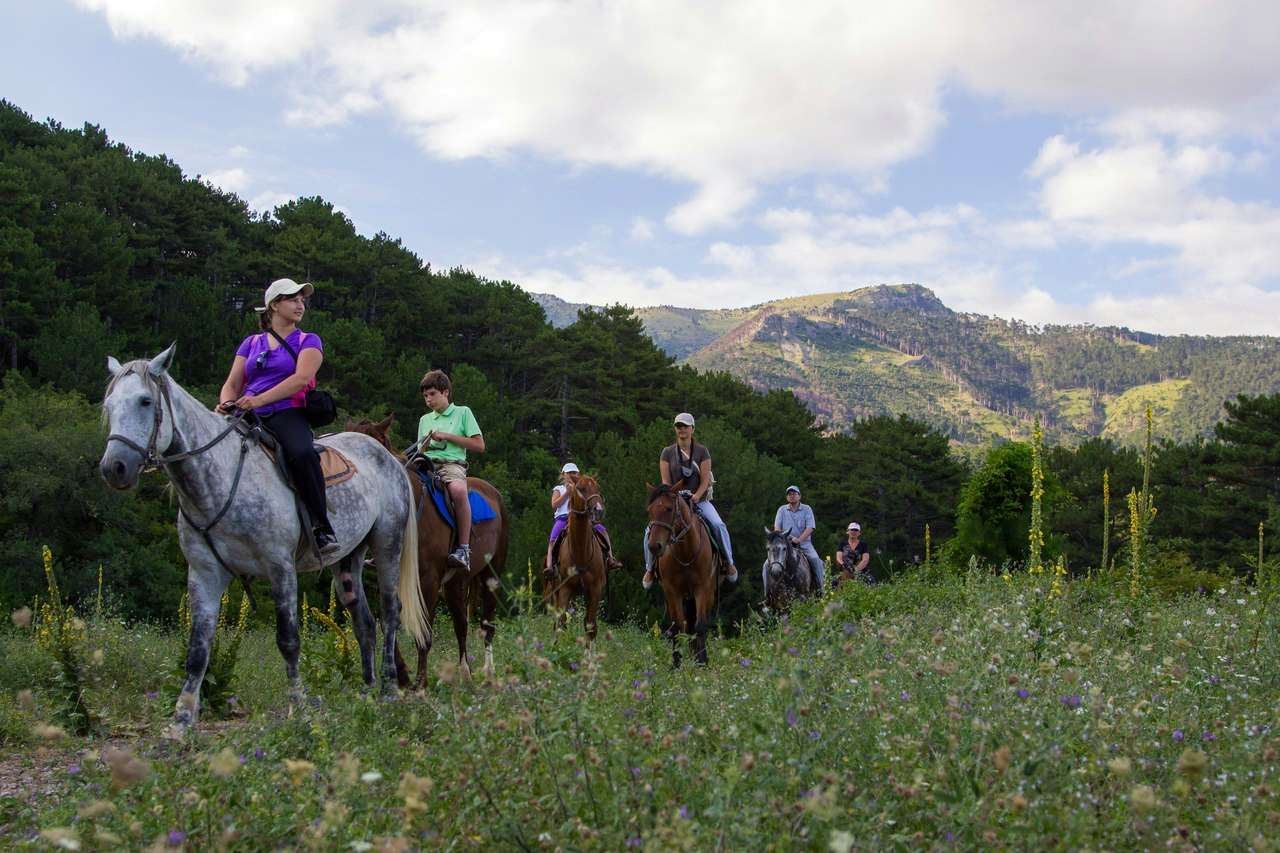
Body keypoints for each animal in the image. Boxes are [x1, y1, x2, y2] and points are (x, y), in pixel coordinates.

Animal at [98, 343, 430, 727]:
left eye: (145, 401)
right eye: (109, 405)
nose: (114, 468)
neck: (222, 476)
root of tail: (388, 458)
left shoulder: (279, 567)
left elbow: (288, 640)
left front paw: (298, 705)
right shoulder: (204, 572)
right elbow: (198, 647)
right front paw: (182, 718)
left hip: (388, 546)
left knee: (390, 613)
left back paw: (389, 689)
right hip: (348, 560)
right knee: (365, 622)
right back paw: (366, 693)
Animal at [350, 412, 514, 686]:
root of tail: (494, 494)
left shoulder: (428, 579)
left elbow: (424, 632)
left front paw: (420, 683)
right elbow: (387, 622)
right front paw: (402, 675)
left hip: (491, 575)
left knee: (486, 623)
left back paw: (488, 673)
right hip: (455, 583)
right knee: (461, 624)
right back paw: (464, 672)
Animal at [550, 471, 609, 637]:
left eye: (597, 487)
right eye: (581, 488)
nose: (599, 510)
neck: (581, 552)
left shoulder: (595, 589)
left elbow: (590, 625)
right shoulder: (565, 588)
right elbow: (561, 622)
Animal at [650, 479, 721, 666]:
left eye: (669, 509)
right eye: (650, 510)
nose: (654, 546)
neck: (685, 552)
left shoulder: (702, 589)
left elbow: (700, 625)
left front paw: (702, 661)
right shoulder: (671, 591)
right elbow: (677, 627)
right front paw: (676, 663)